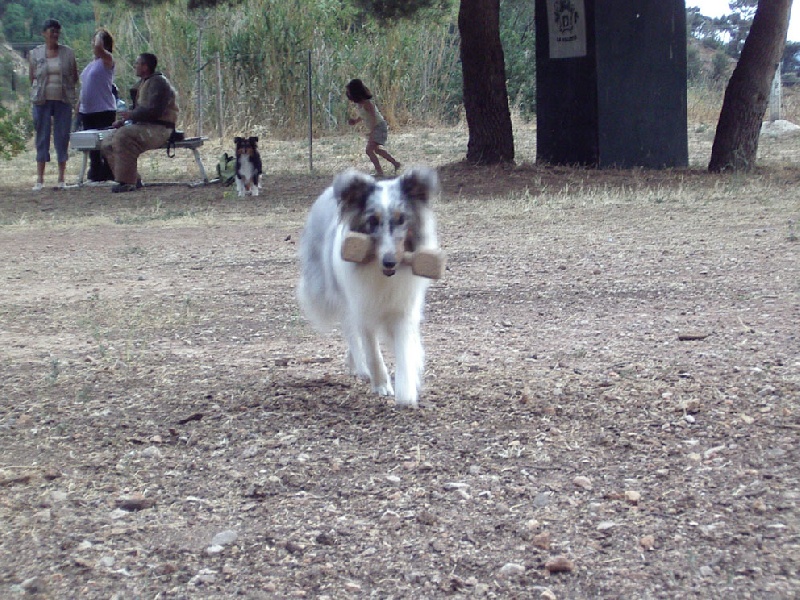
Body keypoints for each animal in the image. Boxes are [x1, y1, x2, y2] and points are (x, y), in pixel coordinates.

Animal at [296, 165, 444, 408]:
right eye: (373, 220)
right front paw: (382, 384)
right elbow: (372, 350)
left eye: (401, 219)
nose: (390, 262)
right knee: (350, 332)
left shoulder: (403, 309)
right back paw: (361, 367)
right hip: (340, 298)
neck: (382, 275)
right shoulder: (362, 307)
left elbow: (404, 349)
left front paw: (406, 392)